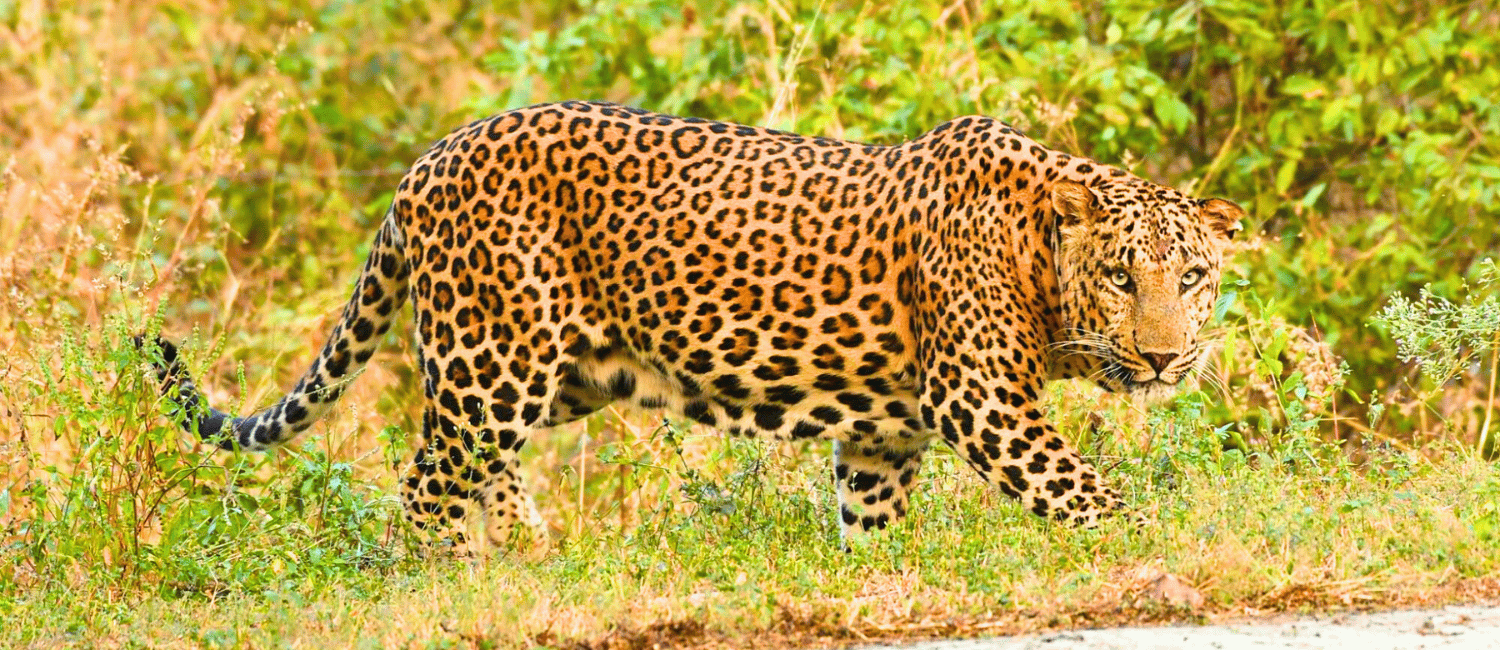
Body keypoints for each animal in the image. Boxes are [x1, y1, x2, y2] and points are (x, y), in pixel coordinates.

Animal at [138, 99, 1242, 549]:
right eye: (1121, 277)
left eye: (1192, 277)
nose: (1164, 356)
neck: (1037, 253)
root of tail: (425, 163)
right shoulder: (985, 403)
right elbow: (1090, 494)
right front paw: (1168, 548)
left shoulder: (882, 433)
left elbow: (872, 522)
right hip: (495, 358)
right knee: (425, 484)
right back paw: (445, 580)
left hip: (554, 373)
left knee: (469, 466)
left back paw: (517, 558)